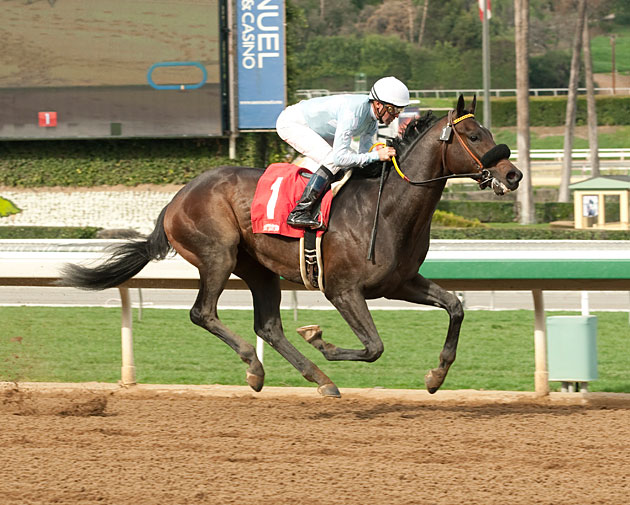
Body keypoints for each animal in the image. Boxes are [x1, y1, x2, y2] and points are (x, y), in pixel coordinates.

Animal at [60, 93, 524, 394]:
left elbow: (455, 307)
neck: (388, 207)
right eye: (476, 136)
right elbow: (373, 347)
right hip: (218, 255)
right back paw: (255, 368)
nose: (514, 174)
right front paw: (320, 338)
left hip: (258, 268)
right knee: (202, 313)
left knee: (268, 325)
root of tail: (175, 199)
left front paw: (436, 376)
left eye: (487, 131)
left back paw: (320, 381)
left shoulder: (400, 283)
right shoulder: (343, 289)